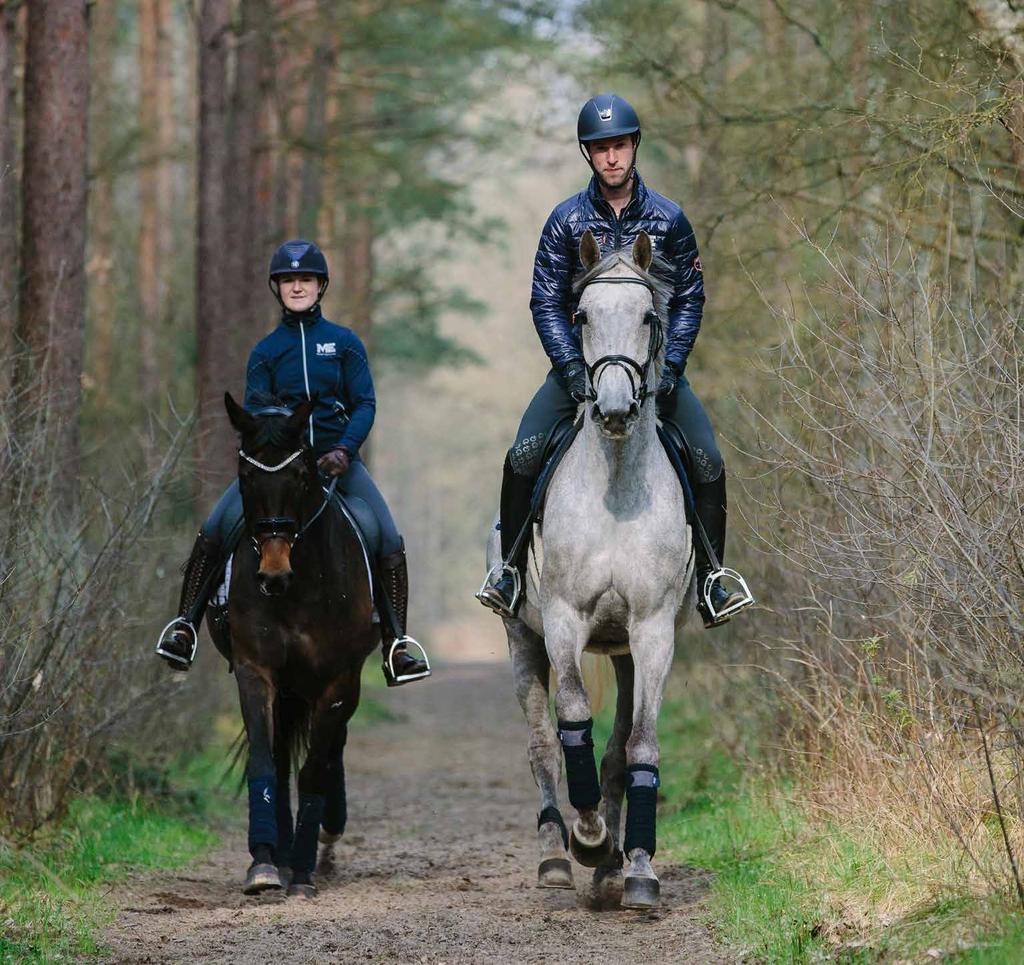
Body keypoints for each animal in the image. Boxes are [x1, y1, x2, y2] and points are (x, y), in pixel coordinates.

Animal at [222, 395, 378, 897]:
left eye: (301, 475)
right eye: (245, 475)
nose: (273, 574)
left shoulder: (338, 681)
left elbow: (314, 769)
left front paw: (305, 871)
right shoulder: (255, 671)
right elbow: (264, 762)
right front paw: (265, 864)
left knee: (330, 752)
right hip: (289, 690)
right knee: (280, 757)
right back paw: (283, 854)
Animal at [487, 230, 696, 909]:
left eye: (650, 316)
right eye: (580, 316)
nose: (614, 408)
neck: (615, 489)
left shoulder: (652, 632)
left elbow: (638, 745)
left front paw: (635, 868)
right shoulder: (562, 619)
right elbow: (573, 718)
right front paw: (589, 838)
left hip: (624, 648)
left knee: (615, 749)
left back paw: (609, 869)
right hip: (521, 636)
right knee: (540, 748)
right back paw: (558, 857)